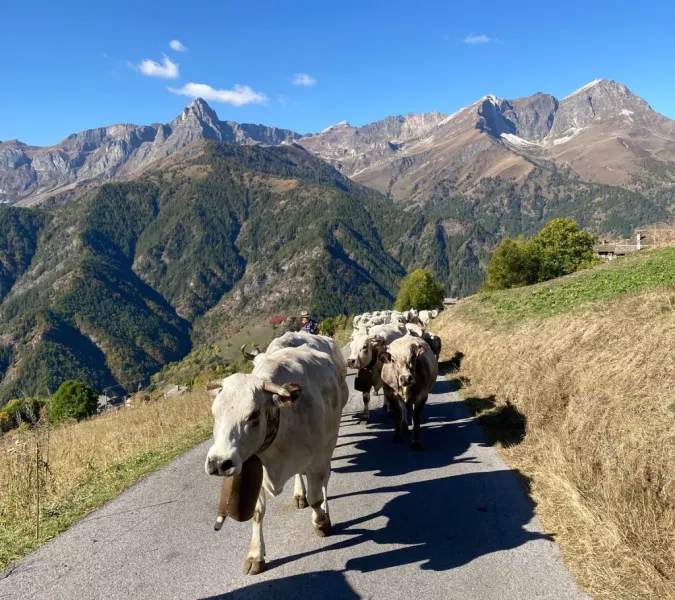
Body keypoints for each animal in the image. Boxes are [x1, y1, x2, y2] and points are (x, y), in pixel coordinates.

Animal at [206, 346, 348, 576]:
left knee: (325, 481)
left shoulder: (316, 462)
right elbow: (256, 513)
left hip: (329, 444)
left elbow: (317, 499)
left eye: (254, 414)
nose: (218, 463)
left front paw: (321, 523)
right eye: (214, 412)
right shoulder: (257, 472)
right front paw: (255, 555)